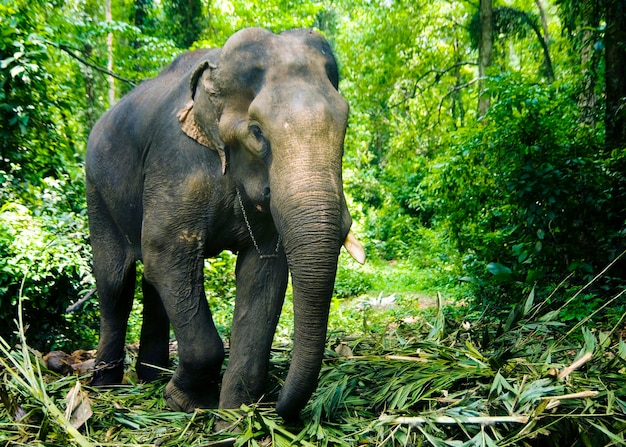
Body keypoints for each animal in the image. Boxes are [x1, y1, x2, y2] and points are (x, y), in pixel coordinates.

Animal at [85, 27, 364, 420]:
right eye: (257, 132)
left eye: (345, 126)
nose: (278, 407)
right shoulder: (176, 162)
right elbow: (167, 253)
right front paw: (184, 402)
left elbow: (263, 273)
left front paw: (234, 420)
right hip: (96, 188)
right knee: (115, 283)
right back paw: (106, 388)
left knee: (151, 282)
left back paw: (151, 377)